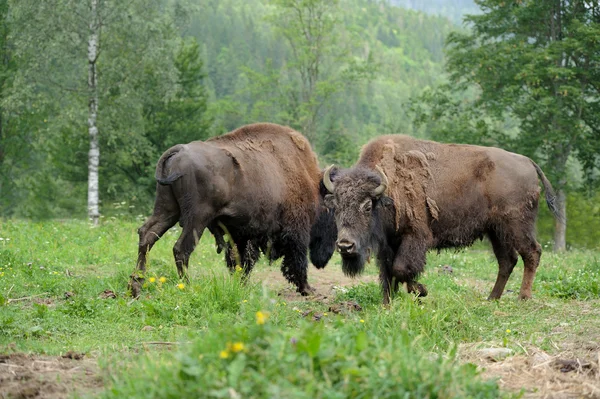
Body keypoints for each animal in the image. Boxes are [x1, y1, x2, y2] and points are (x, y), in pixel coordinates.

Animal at [129, 123, 336, 298]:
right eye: (333, 211)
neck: (309, 178)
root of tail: (177, 151)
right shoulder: (296, 230)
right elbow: (297, 260)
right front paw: (307, 289)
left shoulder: (241, 234)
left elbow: (240, 260)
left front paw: (241, 285)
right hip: (197, 218)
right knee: (181, 249)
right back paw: (186, 287)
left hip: (167, 209)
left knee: (147, 235)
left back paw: (136, 286)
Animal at [322, 136, 560, 304]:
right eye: (336, 207)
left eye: (367, 206)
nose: (345, 245)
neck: (387, 190)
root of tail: (527, 161)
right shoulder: (389, 244)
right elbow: (387, 273)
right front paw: (388, 303)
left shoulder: (415, 237)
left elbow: (402, 268)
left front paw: (421, 292)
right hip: (496, 231)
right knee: (507, 261)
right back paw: (492, 298)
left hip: (517, 225)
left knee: (532, 252)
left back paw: (523, 297)